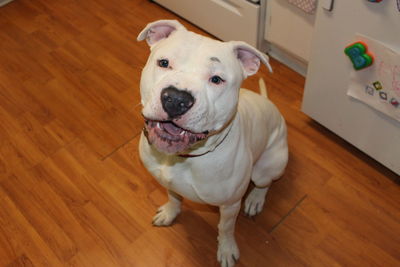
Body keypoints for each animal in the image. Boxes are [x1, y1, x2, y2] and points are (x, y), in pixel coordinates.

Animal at [138, 19, 288, 266]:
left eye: (216, 79)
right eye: (164, 63)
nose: (176, 99)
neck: (184, 157)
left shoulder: (230, 205)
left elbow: (225, 228)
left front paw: (226, 249)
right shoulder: (169, 183)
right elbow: (174, 197)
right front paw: (170, 212)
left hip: (268, 166)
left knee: (264, 183)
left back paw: (255, 199)